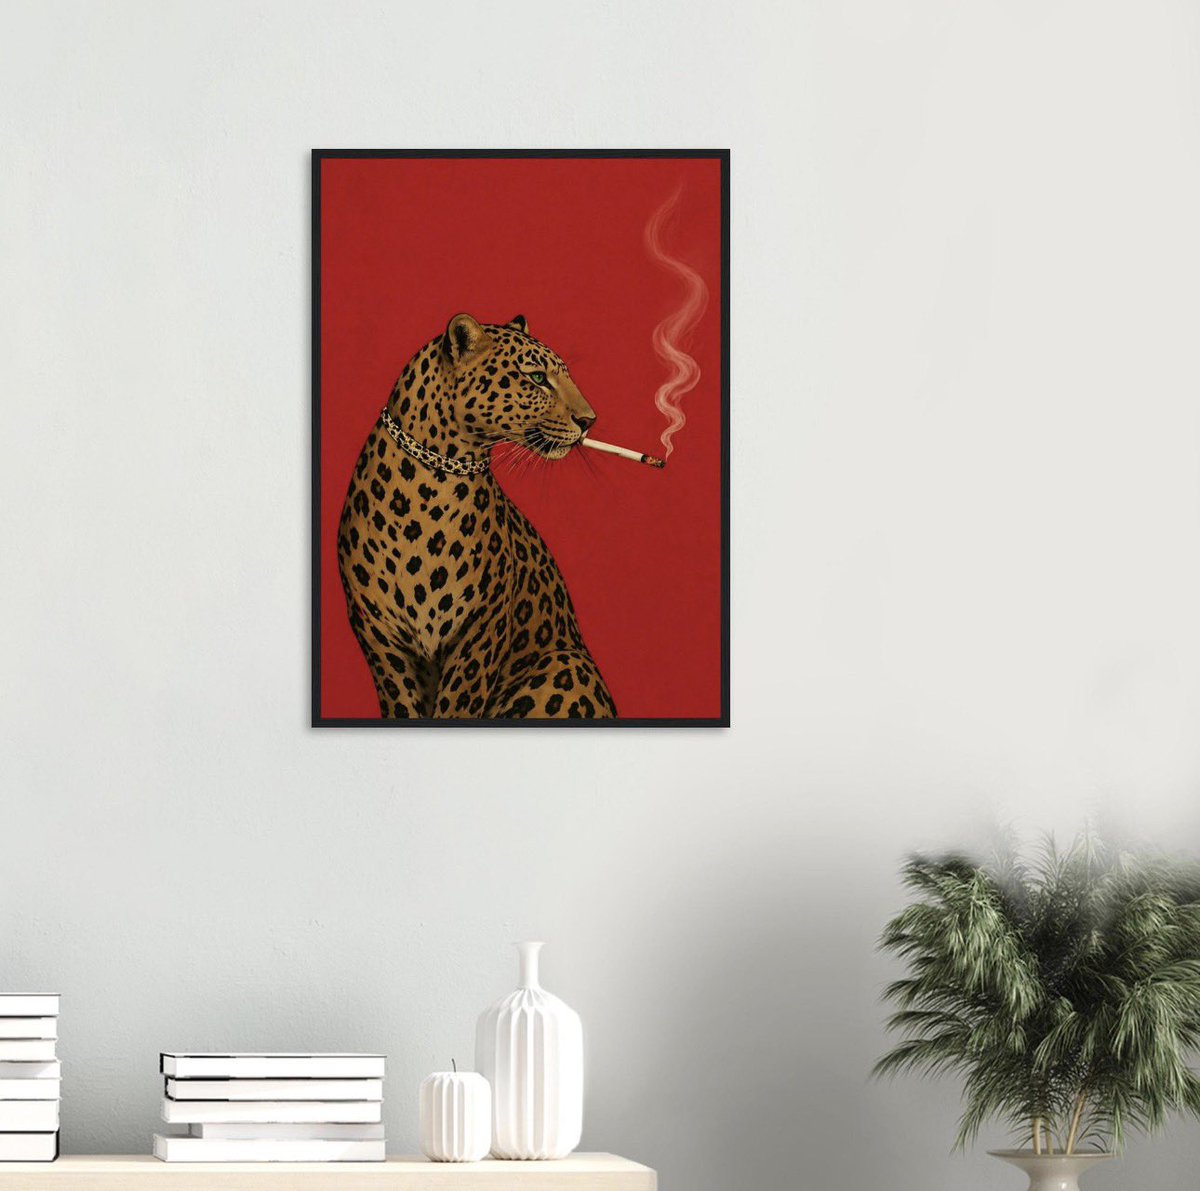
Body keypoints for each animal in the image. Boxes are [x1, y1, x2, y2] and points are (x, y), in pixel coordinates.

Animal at [336, 312, 618, 720]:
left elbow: (458, 705)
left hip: (567, 663)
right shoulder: (379, 635)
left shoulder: (481, 632)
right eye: (536, 377)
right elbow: (402, 702)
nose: (589, 420)